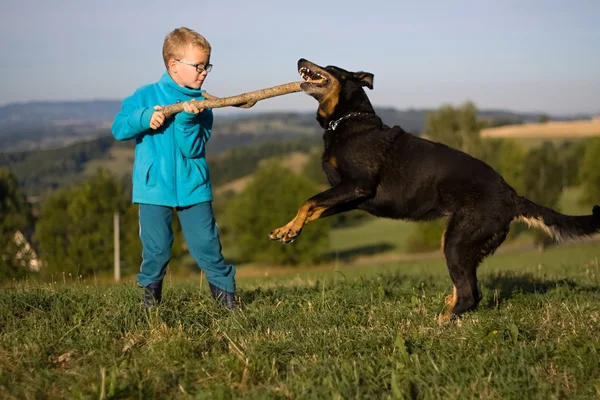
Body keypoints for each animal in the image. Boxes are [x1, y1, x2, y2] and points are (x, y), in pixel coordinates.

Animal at [270, 57, 600, 318]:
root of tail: (511, 195)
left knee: (470, 295)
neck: (347, 122)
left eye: (330, 67)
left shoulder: (357, 186)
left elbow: (309, 200)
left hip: (456, 242)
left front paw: (290, 229)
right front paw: (288, 230)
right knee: (466, 289)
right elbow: (313, 207)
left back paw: (440, 324)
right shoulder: (349, 196)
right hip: (460, 243)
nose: (300, 58)